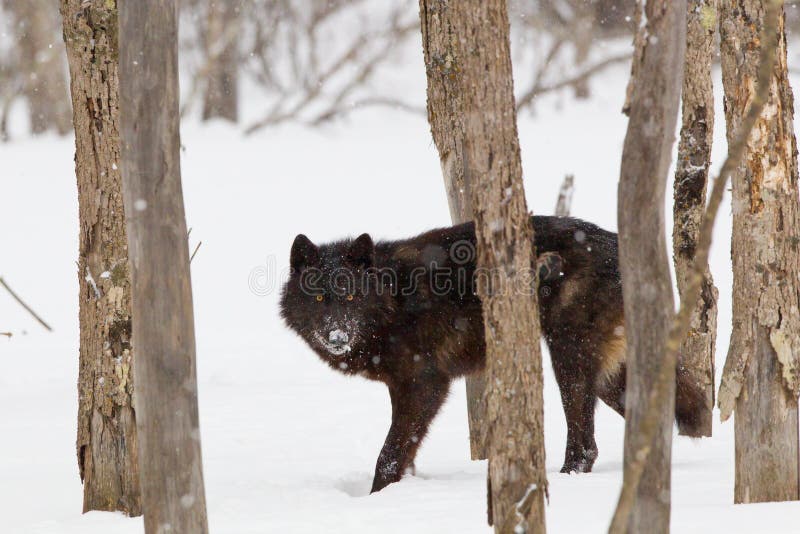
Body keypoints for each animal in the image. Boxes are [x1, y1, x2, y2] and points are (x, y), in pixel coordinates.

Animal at [279, 215, 704, 493]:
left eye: (352, 296)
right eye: (320, 298)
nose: (337, 335)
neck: (394, 299)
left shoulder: (425, 384)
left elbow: (389, 455)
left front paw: (377, 499)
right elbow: (403, 451)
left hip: (569, 358)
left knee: (586, 445)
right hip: (610, 378)